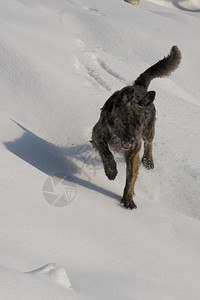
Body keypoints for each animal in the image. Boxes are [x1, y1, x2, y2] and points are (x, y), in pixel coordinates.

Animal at [92, 45, 181, 210]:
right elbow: (106, 153)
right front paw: (111, 170)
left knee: (149, 143)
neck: (117, 136)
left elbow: (131, 179)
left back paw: (148, 161)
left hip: (149, 130)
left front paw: (128, 198)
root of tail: (140, 87)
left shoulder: (133, 152)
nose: (131, 139)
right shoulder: (97, 134)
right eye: (125, 122)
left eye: (139, 123)